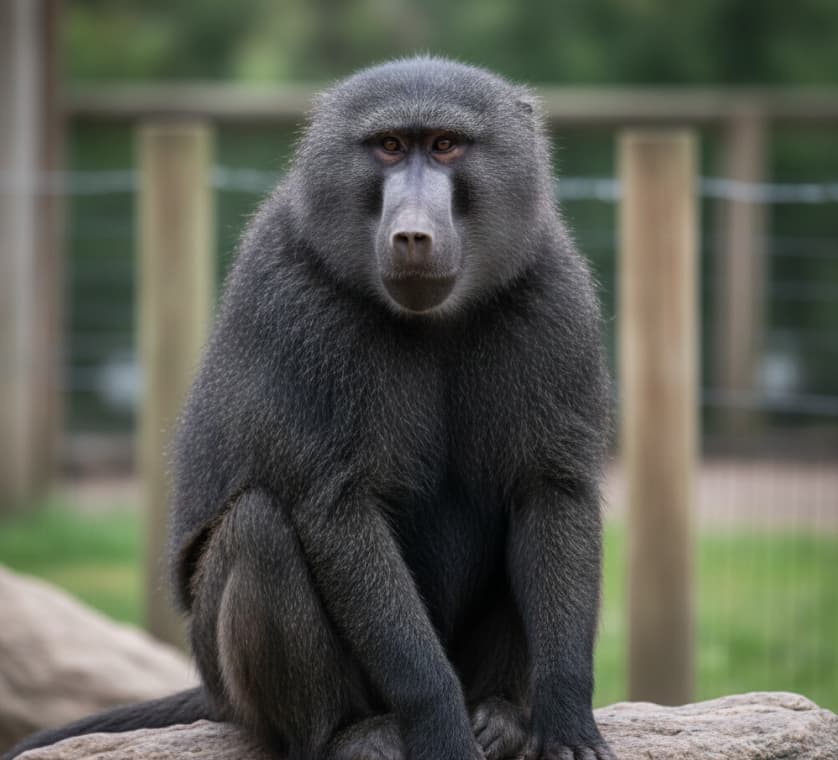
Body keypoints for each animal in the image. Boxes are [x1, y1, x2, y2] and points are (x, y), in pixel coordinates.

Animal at [4, 57, 615, 760]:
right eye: (388, 146)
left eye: (444, 145)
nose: (412, 234)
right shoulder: (294, 303)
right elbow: (334, 508)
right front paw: (440, 727)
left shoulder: (552, 290)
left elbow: (549, 491)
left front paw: (565, 719)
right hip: (231, 678)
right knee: (258, 530)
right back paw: (345, 732)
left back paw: (501, 713)